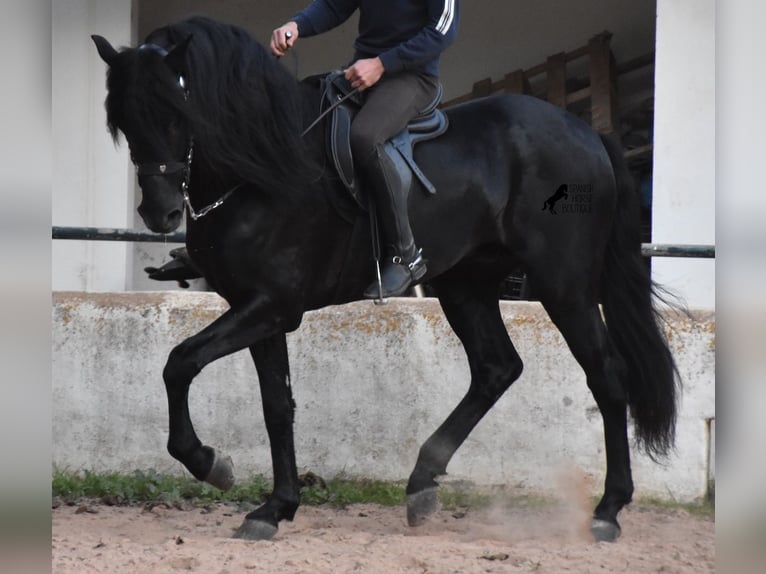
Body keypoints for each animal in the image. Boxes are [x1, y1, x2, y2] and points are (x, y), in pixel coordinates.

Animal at [91, 14, 680, 544]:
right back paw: (421, 485)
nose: (160, 213)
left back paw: (608, 511)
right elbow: (276, 407)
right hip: (466, 285)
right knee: (496, 368)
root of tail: (585, 132)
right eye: (123, 120)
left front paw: (209, 463)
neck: (263, 169)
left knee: (605, 375)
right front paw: (275, 508)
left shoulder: (271, 306)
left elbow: (179, 363)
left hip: (565, 286)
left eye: (177, 111)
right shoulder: (258, 308)